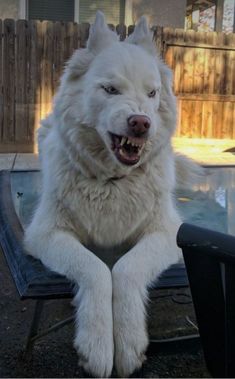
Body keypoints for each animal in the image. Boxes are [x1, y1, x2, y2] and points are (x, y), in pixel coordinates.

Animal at [24, 11, 196, 378]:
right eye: (110, 89)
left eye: (151, 93)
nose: (141, 123)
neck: (113, 181)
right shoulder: (46, 234)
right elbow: (96, 270)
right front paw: (98, 345)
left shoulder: (166, 234)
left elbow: (127, 269)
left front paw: (129, 342)